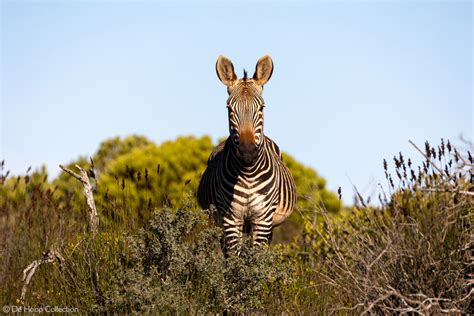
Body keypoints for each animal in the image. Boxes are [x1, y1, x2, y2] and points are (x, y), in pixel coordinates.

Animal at [197, 53, 296, 253]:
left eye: (262, 108)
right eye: (229, 108)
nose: (248, 152)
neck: (248, 173)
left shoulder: (263, 219)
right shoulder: (231, 218)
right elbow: (235, 256)